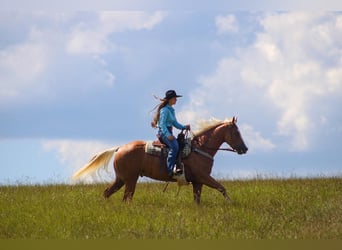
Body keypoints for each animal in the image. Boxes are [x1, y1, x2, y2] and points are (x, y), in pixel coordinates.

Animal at [73, 116, 248, 203]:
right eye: (236, 132)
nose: (244, 148)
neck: (200, 148)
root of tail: (120, 148)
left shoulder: (198, 182)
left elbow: (198, 200)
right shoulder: (203, 177)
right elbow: (221, 188)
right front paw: (230, 203)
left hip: (121, 179)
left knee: (108, 193)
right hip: (130, 180)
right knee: (126, 198)